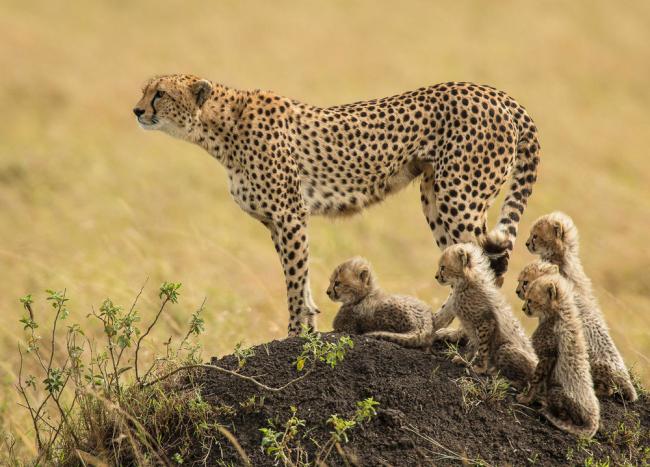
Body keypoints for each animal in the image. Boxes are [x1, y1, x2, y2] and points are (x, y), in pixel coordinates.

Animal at [134, 75, 540, 334]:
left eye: (160, 94)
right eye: (145, 91)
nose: (137, 111)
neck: (219, 127)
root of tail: (497, 93)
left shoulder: (290, 214)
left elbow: (295, 278)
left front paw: (298, 333)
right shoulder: (277, 221)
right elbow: (298, 278)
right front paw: (308, 324)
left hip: (459, 196)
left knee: (485, 264)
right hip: (435, 196)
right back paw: (438, 324)